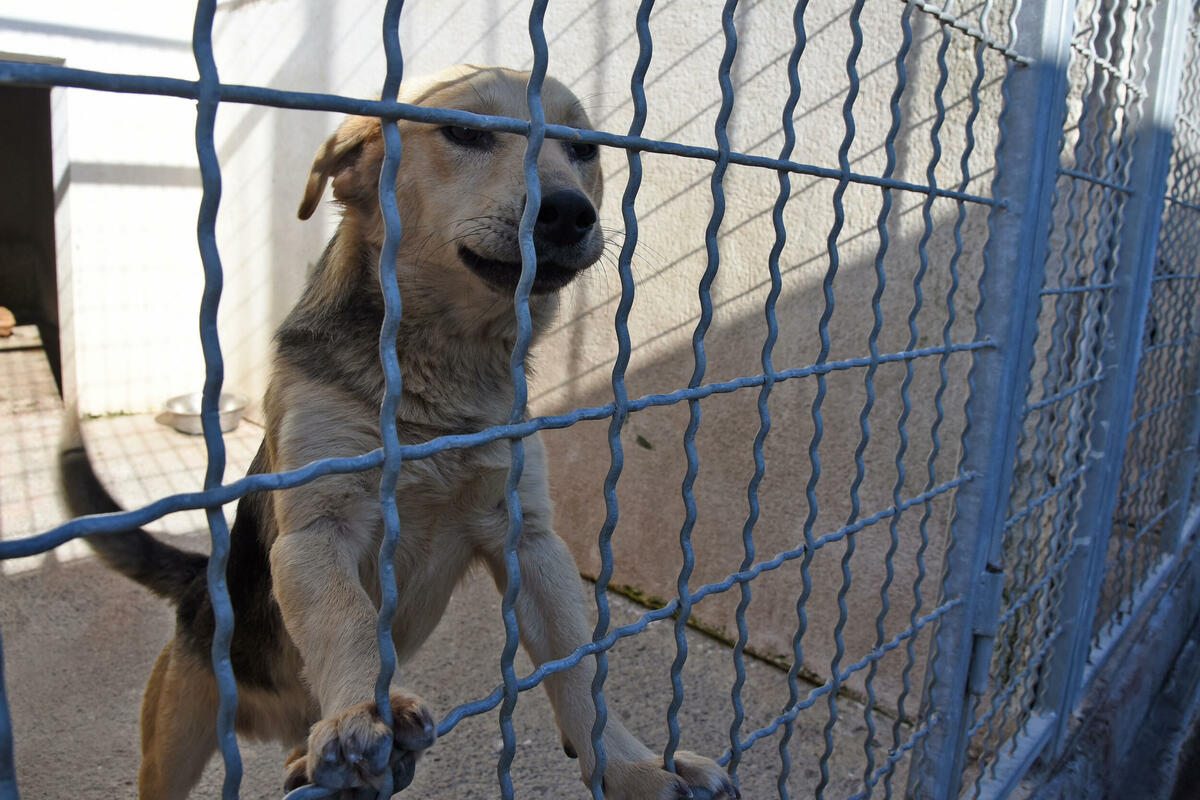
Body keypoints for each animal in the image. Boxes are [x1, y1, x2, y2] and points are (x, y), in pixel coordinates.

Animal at [72, 65, 737, 800]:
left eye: (583, 148)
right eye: (465, 133)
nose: (568, 212)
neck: (440, 374)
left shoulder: (528, 536)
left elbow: (578, 665)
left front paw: (631, 767)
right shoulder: (318, 528)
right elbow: (350, 618)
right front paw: (366, 707)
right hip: (178, 727)